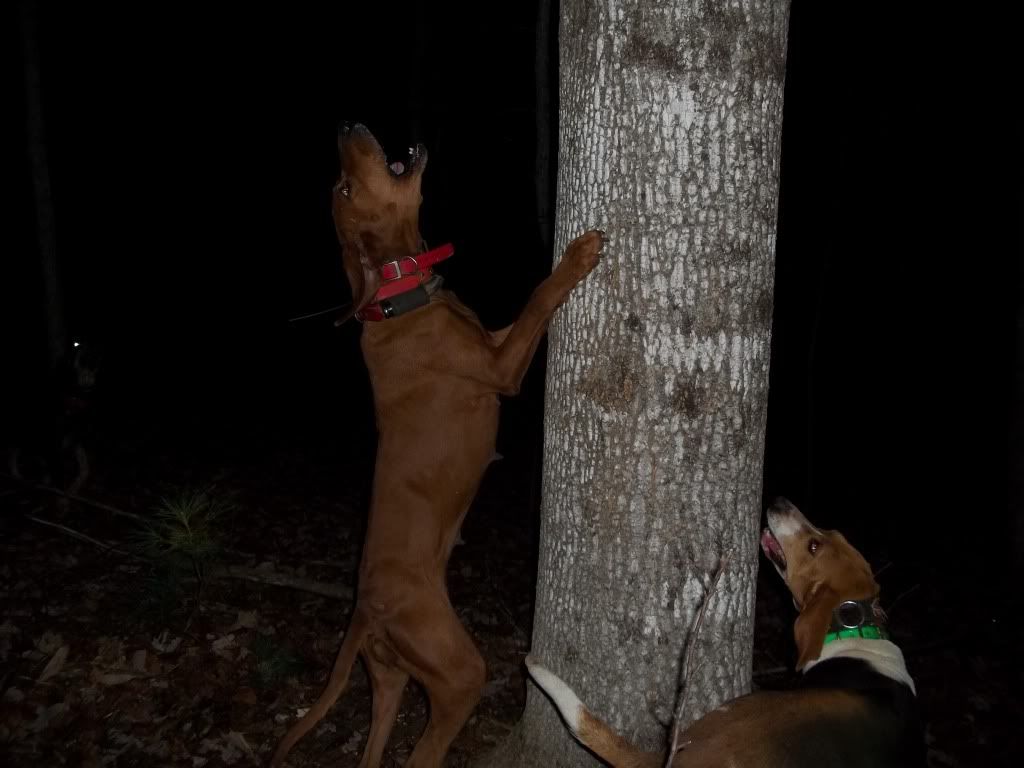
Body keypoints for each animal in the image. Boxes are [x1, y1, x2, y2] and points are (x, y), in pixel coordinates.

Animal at [270, 123, 603, 767]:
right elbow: (538, 297)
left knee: (374, 749)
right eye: (345, 187)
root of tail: (363, 611)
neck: (397, 296)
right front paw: (575, 258)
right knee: (424, 750)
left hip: (390, 679)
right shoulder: (502, 368)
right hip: (457, 673)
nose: (346, 126)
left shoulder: (494, 342)